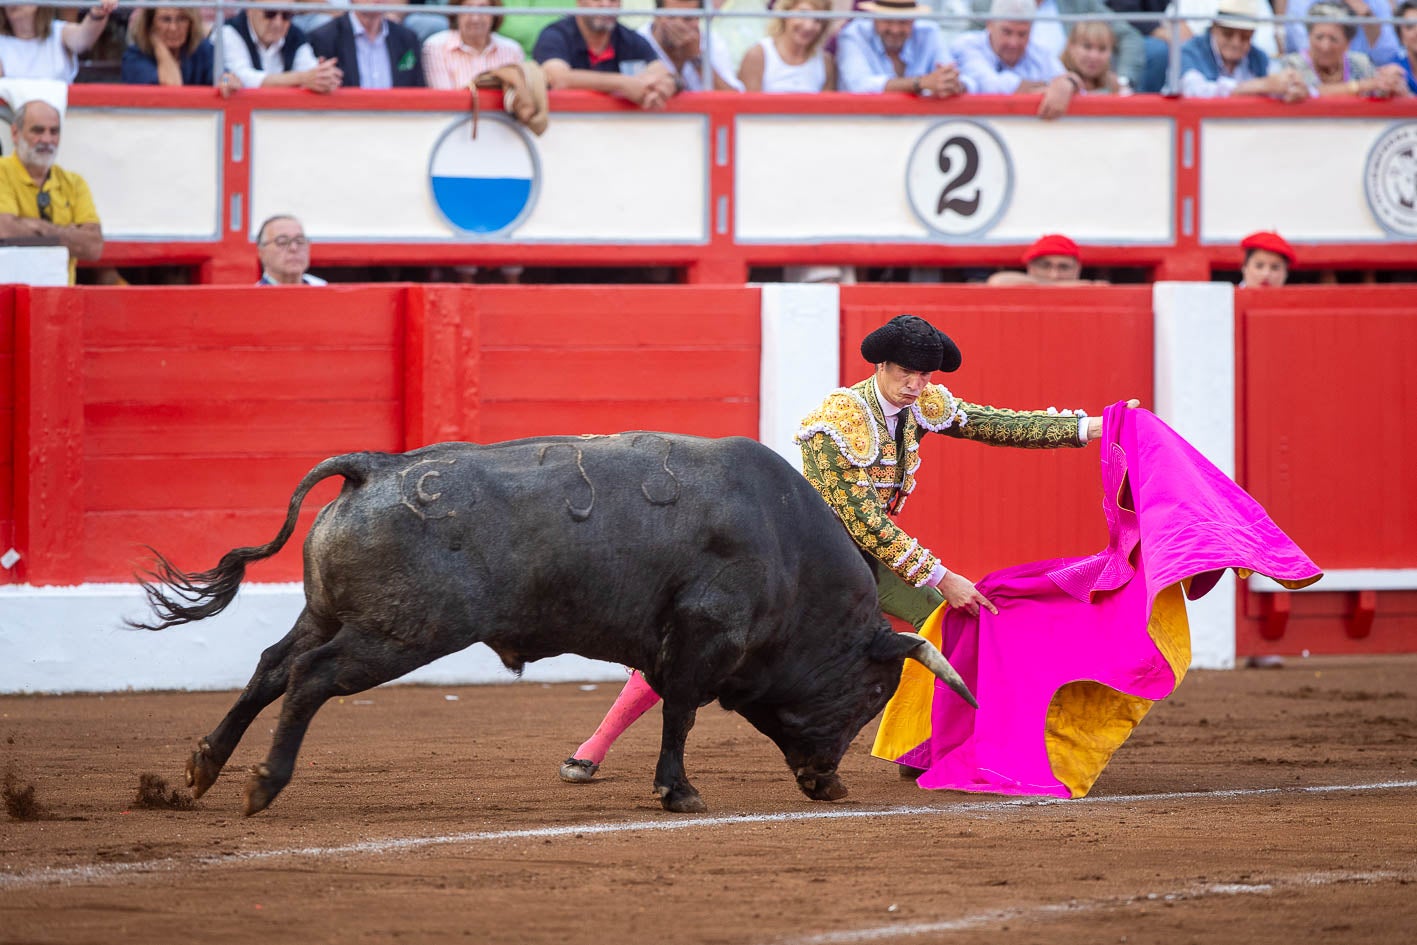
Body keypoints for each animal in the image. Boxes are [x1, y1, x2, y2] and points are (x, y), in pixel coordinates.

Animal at [133, 433, 969, 816]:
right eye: (872, 693)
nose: (829, 781)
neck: (787, 550)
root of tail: (376, 465)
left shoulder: (675, 645)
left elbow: (664, 704)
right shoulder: (704, 641)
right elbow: (680, 713)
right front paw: (679, 791)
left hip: (328, 612)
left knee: (273, 665)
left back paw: (202, 767)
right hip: (399, 634)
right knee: (308, 678)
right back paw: (262, 784)